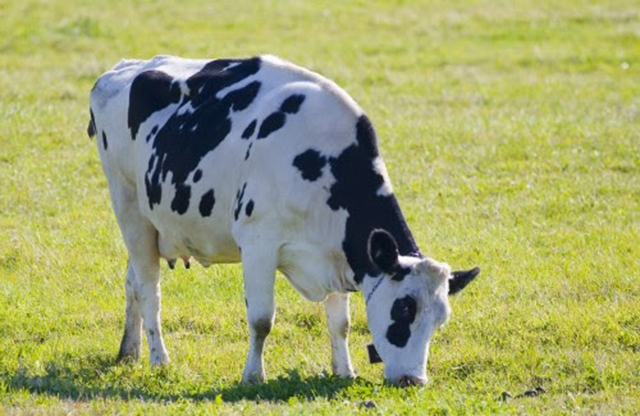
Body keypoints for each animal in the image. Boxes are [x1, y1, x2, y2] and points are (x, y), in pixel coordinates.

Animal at [88, 55, 479, 387]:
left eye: (439, 320)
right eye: (403, 310)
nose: (414, 380)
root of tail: (123, 69)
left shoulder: (338, 253)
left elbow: (341, 323)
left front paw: (344, 371)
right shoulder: (258, 242)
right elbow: (262, 319)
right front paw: (252, 376)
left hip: (151, 224)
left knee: (132, 281)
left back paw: (129, 351)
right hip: (128, 206)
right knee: (148, 288)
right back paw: (159, 359)